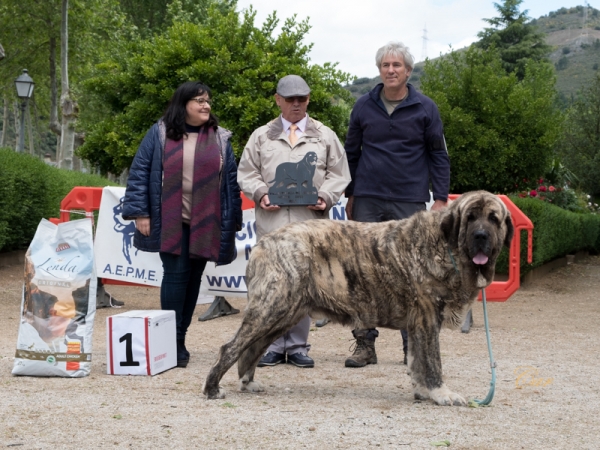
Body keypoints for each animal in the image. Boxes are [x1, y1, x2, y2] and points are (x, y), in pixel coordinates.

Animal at [204, 190, 512, 404]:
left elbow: (416, 362)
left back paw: (247, 382)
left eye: (493, 219)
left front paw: (423, 392)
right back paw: (212, 388)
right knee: (231, 347)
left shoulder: (417, 326)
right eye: (470, 218)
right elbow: (433, 362)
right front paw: (441, 394)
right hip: (272, 309)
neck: (445, 246)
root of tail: (263, 243)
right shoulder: (427, 321)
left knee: (252, 349)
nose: (481, 235)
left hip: (284, 315)